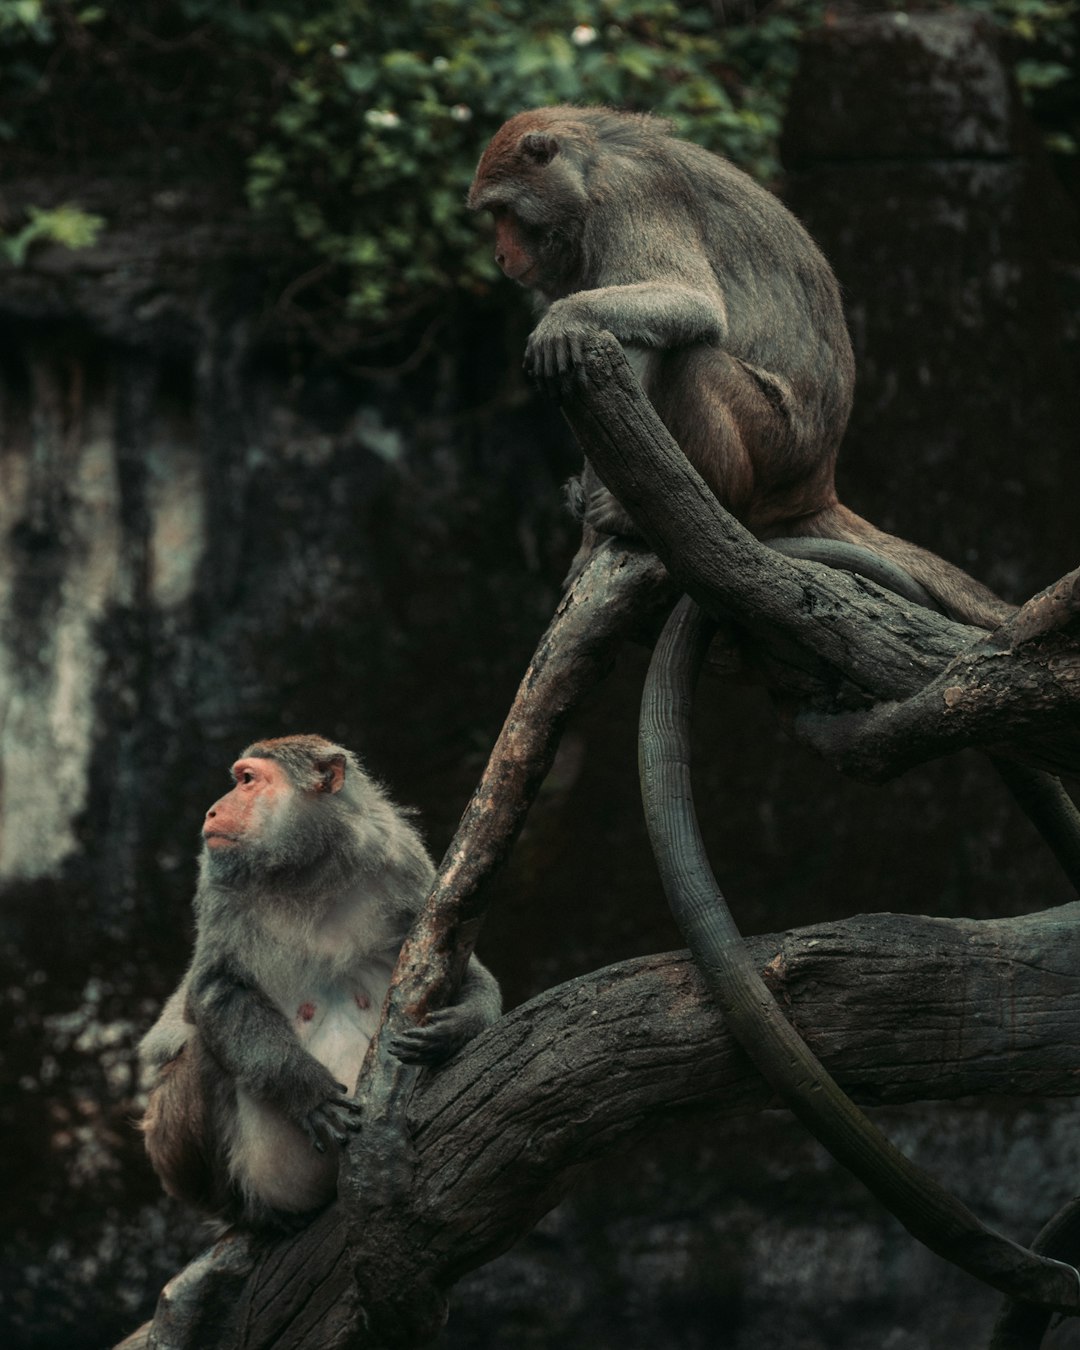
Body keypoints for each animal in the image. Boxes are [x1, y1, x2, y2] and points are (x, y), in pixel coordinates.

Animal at [138, 734, 502, 1231]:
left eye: (246, 780)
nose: (212, 812)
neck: (308, 869)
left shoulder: (401, 859)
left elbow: (457, 959)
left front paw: (461, 1024)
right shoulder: (217, 885)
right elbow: (213, 992)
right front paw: (304, 1088)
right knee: (200, 1050)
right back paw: (255, 1216)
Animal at [467, 108, 1015, 629]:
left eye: (504, 211)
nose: (500, 255)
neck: (589, 172)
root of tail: (818, 486)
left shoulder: (629, 197)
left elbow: (691, 305)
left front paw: (565, 319)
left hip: (777, 446)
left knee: (691, 359)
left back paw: (691, 510)